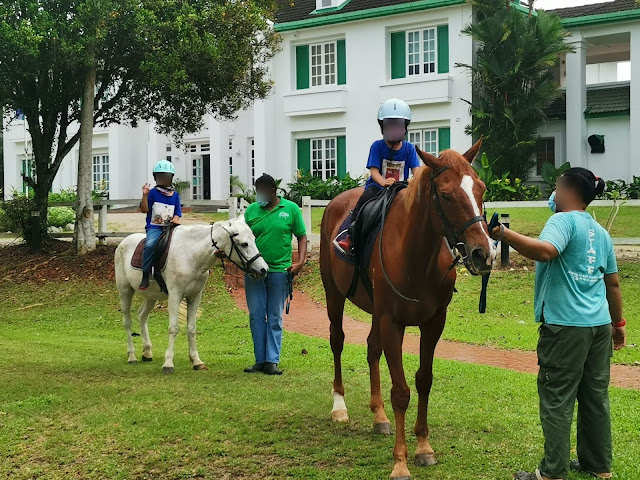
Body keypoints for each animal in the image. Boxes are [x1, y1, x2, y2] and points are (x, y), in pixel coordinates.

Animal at [114, 218, 266, 376]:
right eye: (244, 244)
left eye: (253, 239)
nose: (263, 269)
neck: (191, 255)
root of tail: (123, 242)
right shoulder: (174, 296)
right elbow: (173, 328)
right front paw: (168, 363)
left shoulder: (195, 296)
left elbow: (192, 328)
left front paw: (196, 361)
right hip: (125, 291)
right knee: (127, 322)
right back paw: (132, 356)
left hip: (151, 296)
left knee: (142, 316)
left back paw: (147, 352)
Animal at [320, 140, 496, 480]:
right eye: (446, 195)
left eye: (481, 189)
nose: (484, 253)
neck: (417, 255)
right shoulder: (393, 322)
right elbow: (401, 391)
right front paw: (400, 463)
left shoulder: (433, 323)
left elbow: (423, 381)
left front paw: (424, 447)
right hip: (334, 294)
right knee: (337, 341)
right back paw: (338, 406)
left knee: (372, 349)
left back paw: (379, 416)